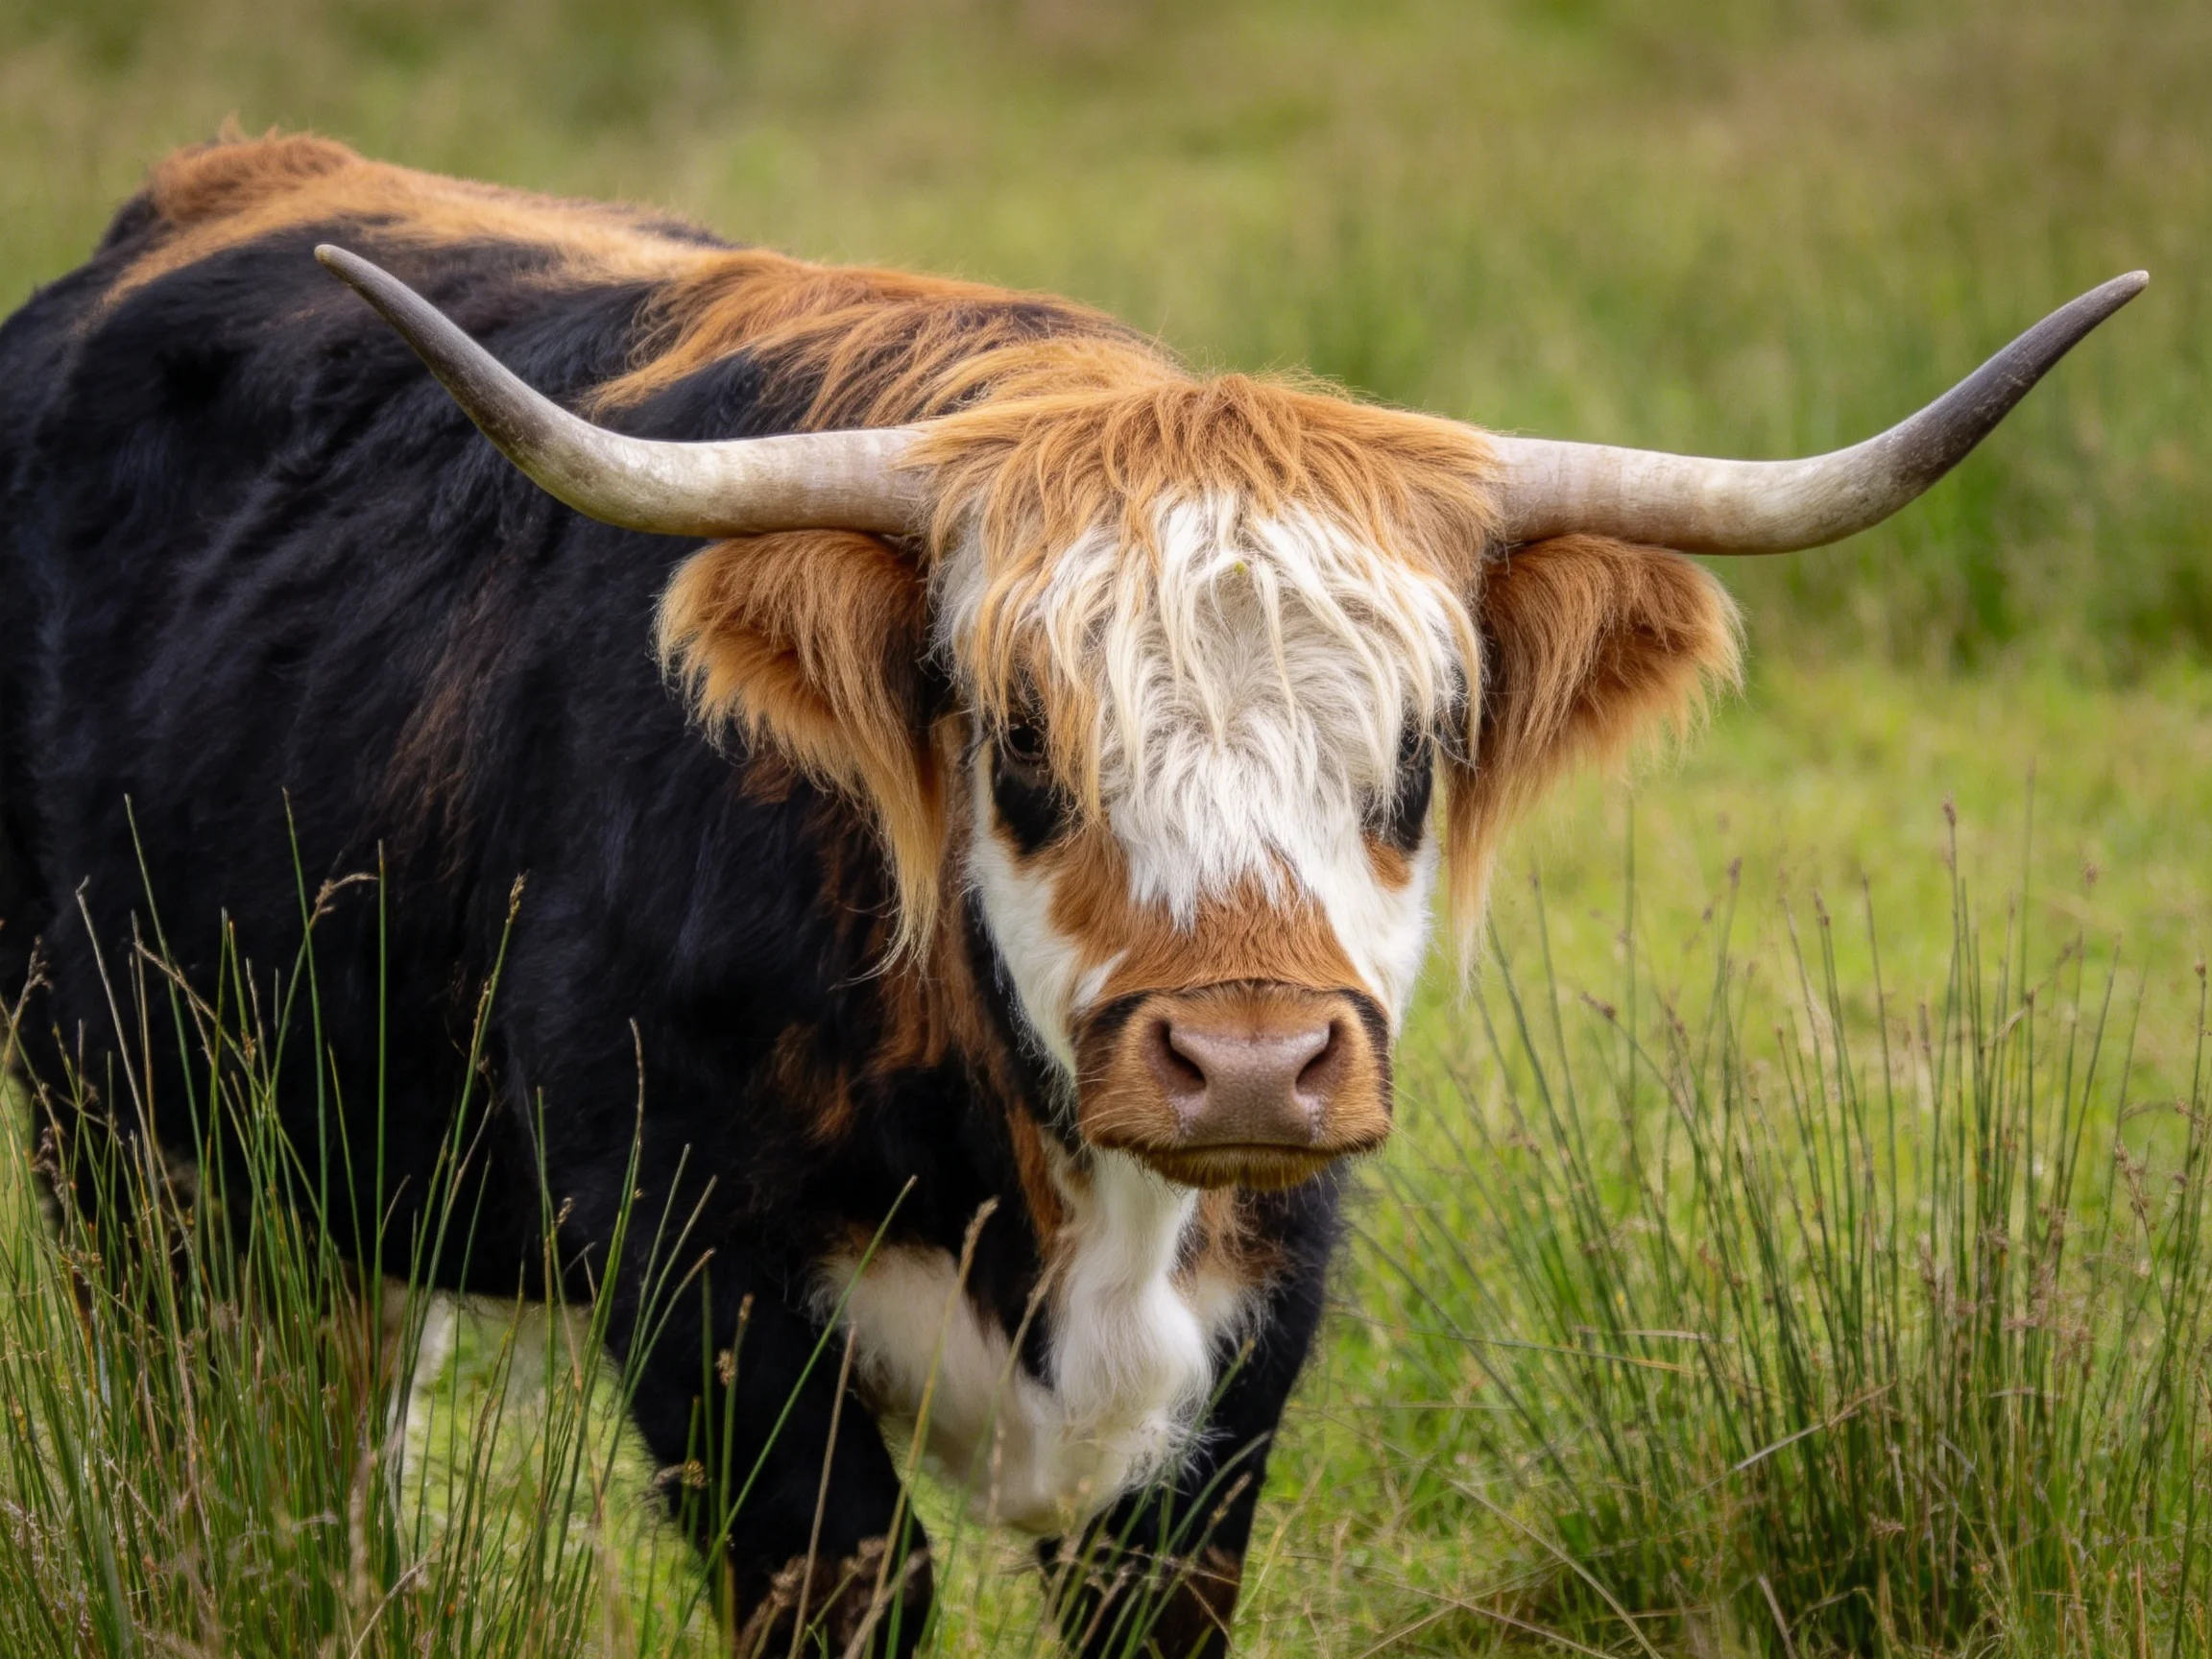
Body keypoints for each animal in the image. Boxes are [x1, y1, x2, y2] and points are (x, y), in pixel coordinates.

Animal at [0, 133, 2140, 1656]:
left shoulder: (1242, 1353)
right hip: (130, 1151)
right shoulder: (697, 1290)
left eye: (1416, 752)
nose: (1251, 1063)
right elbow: (849, 1588)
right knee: (211, 1458)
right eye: (1022, 742)